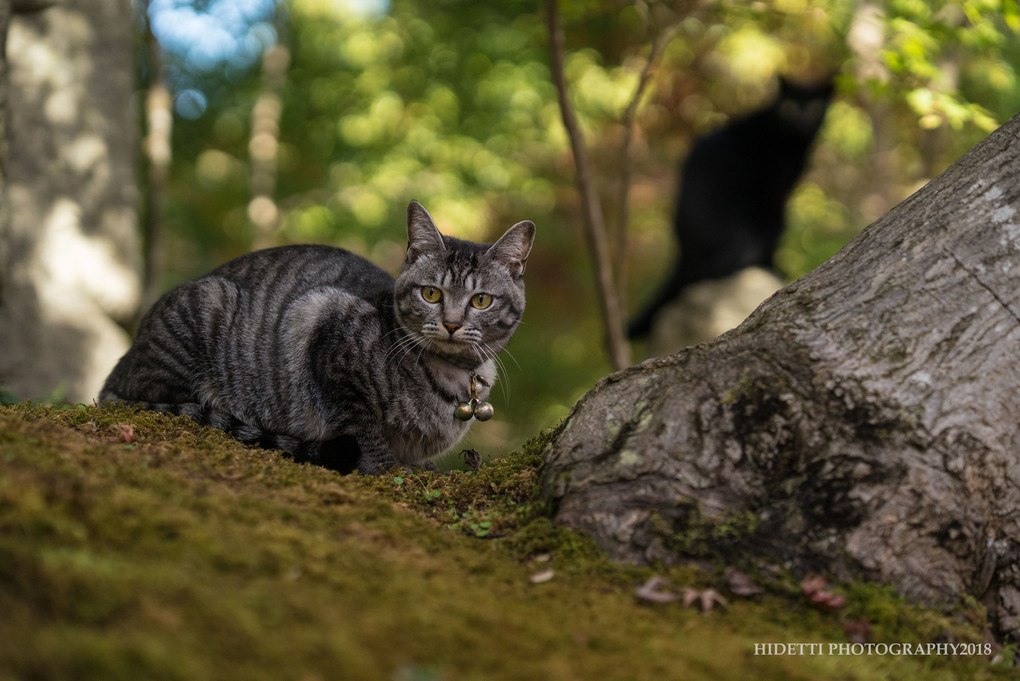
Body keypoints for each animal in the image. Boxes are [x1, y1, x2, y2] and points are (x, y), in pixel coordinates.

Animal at [99, 200, 538, 473]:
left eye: (481, 300)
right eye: (431, 294)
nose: (450, 322)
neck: (453, 378)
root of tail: (118, 368)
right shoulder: (325, 323)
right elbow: (362, 422)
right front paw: (385, 466)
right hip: (207, 306)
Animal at [628, 76, 836, 338]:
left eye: (815, 107)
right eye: (788, 106)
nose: (801, 118)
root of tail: (683, 256)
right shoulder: (777, 193)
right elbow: (773, 245)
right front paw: (775, 267)